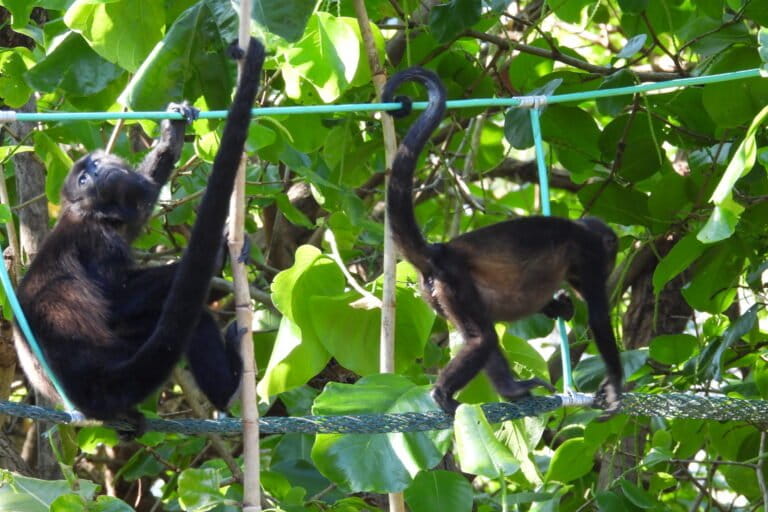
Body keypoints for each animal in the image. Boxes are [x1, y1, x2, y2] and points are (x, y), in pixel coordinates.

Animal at [12, 38, 265, 433]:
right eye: (83, 179)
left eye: (93, 165)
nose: (97, 171)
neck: (99, 214)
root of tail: (92, 391)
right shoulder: (98, 239)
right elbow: (117, 300)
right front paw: (218, 258)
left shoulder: (127, 217)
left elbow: (147, 192)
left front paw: (170, 136)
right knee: (189, 319)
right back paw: (230, 389)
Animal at [382, 68, 622, 415]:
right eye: (610, 259)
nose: (610, 268)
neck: (585, 232)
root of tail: (438, 251)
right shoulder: (590, 257)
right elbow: (600, 319)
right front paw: (615, 384)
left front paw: (560, 305)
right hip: (453, 281)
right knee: (482, 339)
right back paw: (444, 395)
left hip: (437, 295)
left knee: (482, 334)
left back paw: (510, 389)